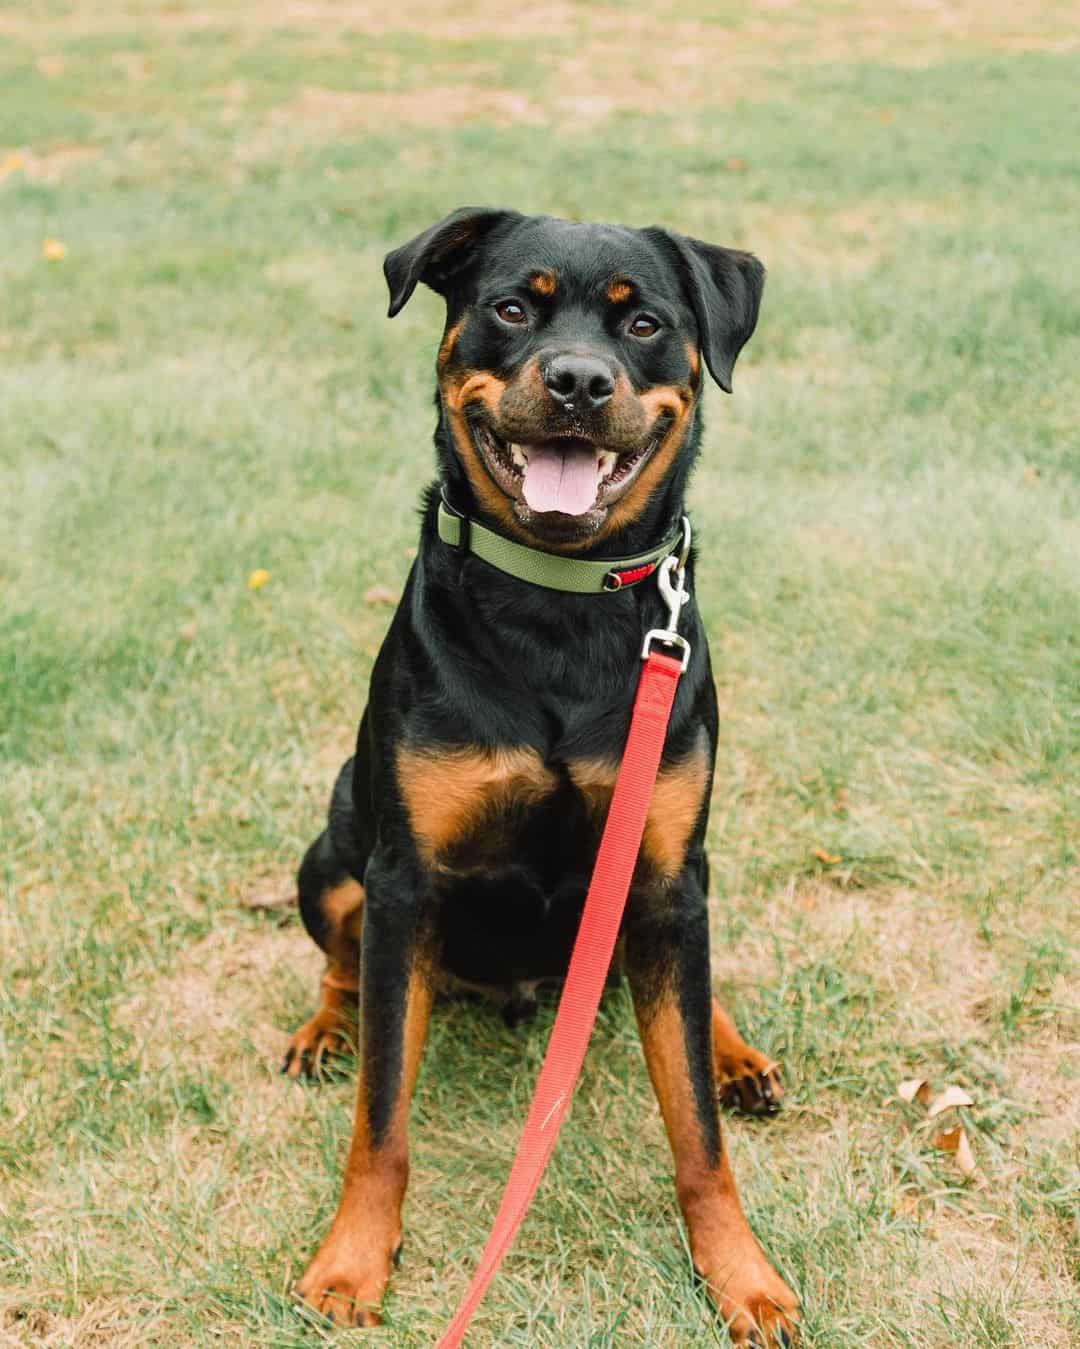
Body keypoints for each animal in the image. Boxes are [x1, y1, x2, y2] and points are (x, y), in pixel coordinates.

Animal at [281, 205, 798, 1343]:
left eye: (644, 322)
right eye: (514, 306)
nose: (577, 381)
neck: (558, 605)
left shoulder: (662, 870)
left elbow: (697, 1130)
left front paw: (741, 1273)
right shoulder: (403, 880)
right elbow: (381, 1112)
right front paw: (352, 1259)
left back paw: (736, 1052)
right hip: (331, 849)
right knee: (344, 966)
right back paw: (325, 1026)